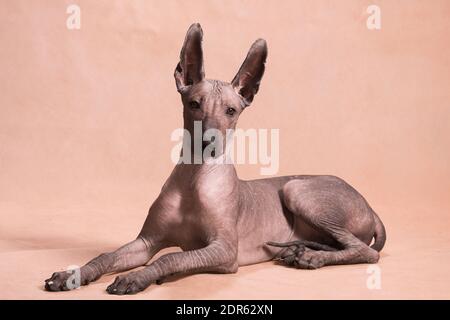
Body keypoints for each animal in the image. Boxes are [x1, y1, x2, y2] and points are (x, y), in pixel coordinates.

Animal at [44, 23, 386, 296]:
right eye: (194, 104)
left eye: (231, 111)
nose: (209, 142)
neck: (195, 177)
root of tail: (370, 206)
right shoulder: (146, 241)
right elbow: (106, 256)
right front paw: (72, 275)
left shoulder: (224, 250)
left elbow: (170, 257)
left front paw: (137, 278)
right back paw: (298, 251)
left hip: (295, 189)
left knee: (364, 252)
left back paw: (312, 257)